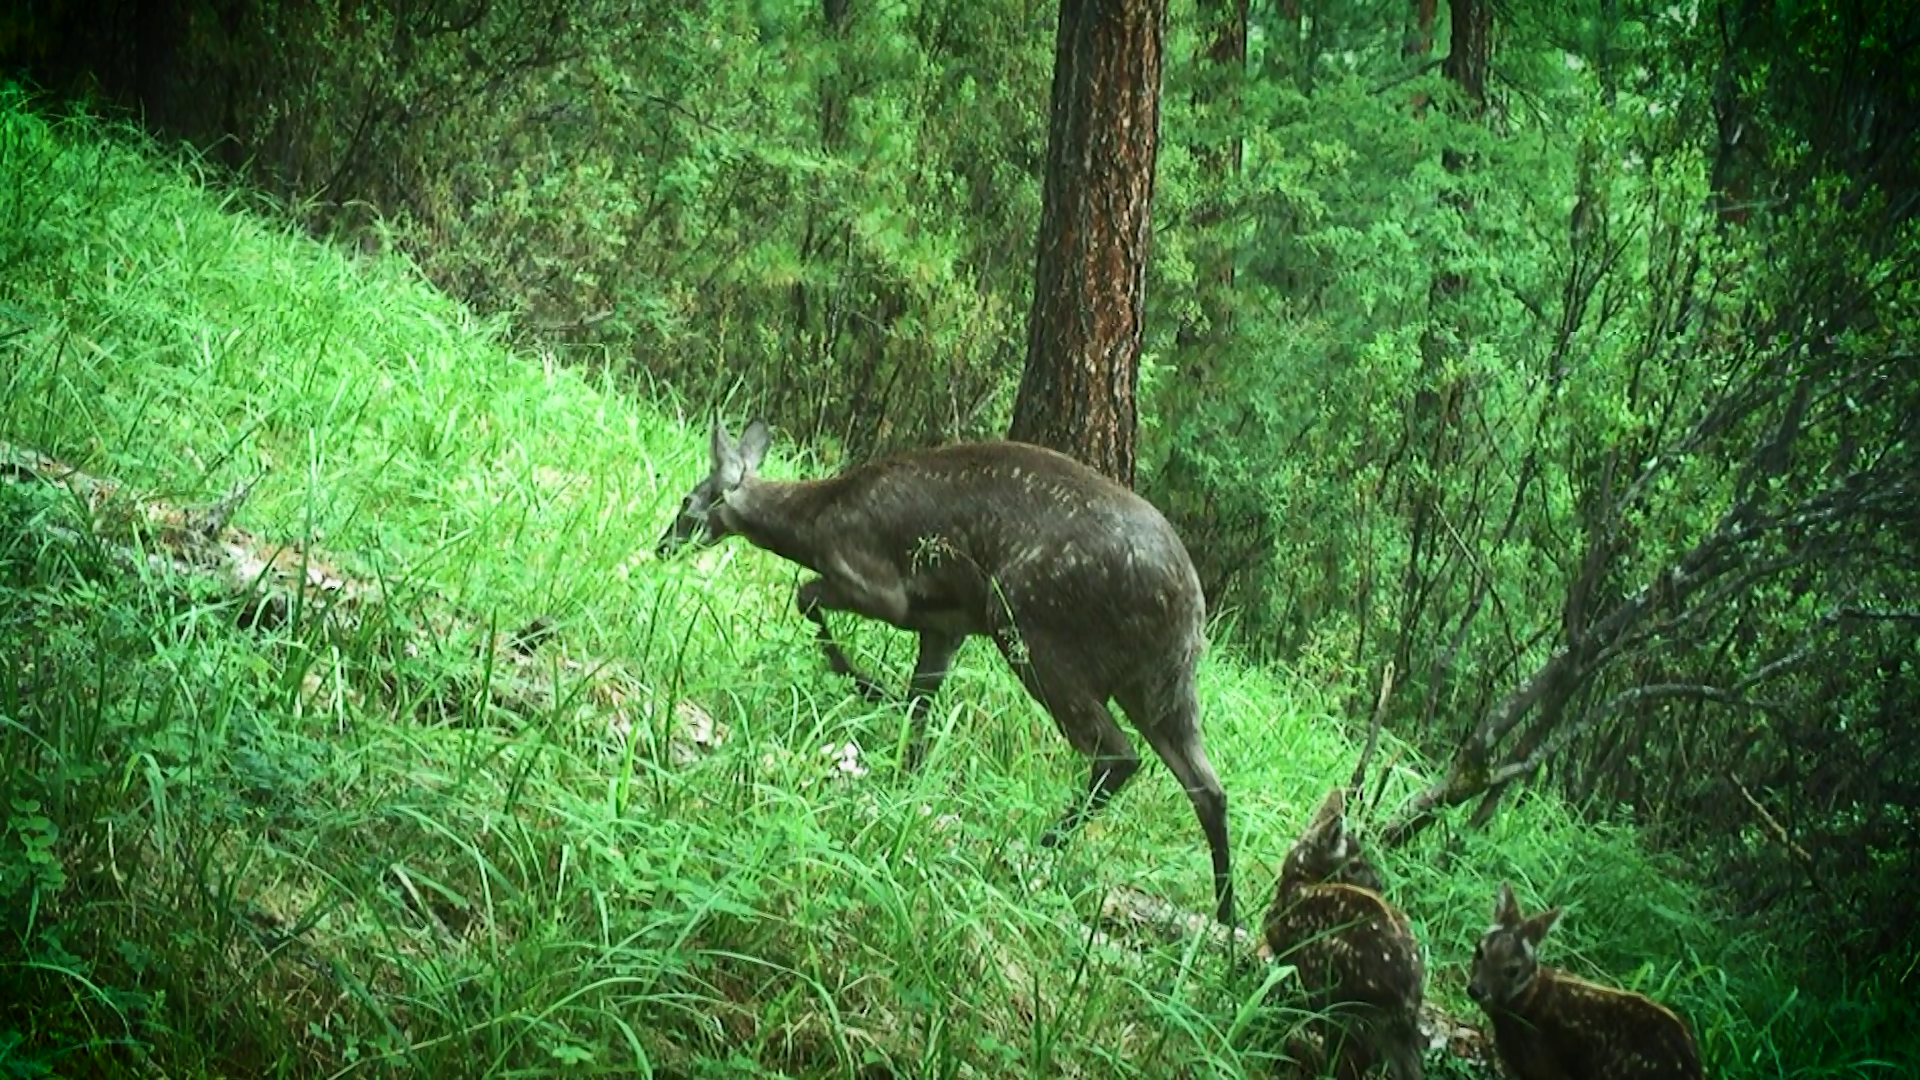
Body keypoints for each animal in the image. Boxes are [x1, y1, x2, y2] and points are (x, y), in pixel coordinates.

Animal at [656, 417, 1228, 922]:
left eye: (687, 501)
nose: (663, 545)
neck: (818, 519)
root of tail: (1189, 610)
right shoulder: (944, 627)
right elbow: (920, 705)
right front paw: (905, 783)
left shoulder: (879, 585)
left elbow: (806, 596)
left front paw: (871, 688)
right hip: (1153, 686)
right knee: (1207, 787)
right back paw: (1224, 929)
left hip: (1031, 629)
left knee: (1118, 753)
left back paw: (1038, 845)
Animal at [1259, 780, 1428, 1076]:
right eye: (1356, 864)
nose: (1379, 884)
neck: (1301, 878)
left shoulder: (1278, 933)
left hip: (1329, 986)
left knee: (1351, 1055)